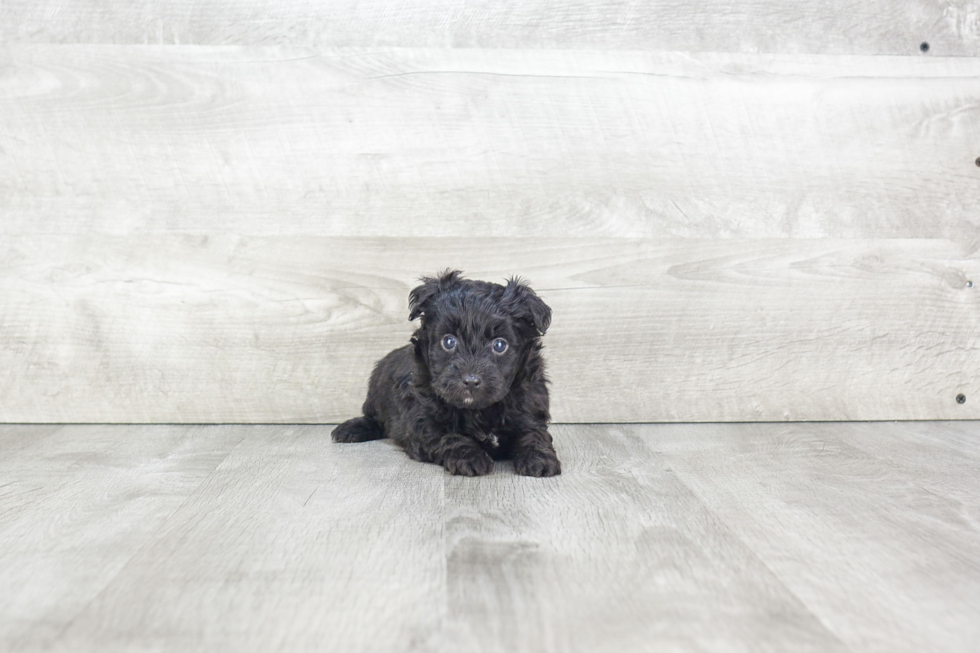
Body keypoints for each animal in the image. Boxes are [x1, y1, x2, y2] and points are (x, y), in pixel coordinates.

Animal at [332, 268, 564, 476]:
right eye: (449, 341)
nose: (471, 381)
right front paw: (470, 458)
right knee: (374, 418)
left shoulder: (529, 407)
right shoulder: (422, 421)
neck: (478, 410)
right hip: (376, 396)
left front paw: (539, 458)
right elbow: (449, 437)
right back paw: (350, 429)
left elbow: (534, 433)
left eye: (500, 345)